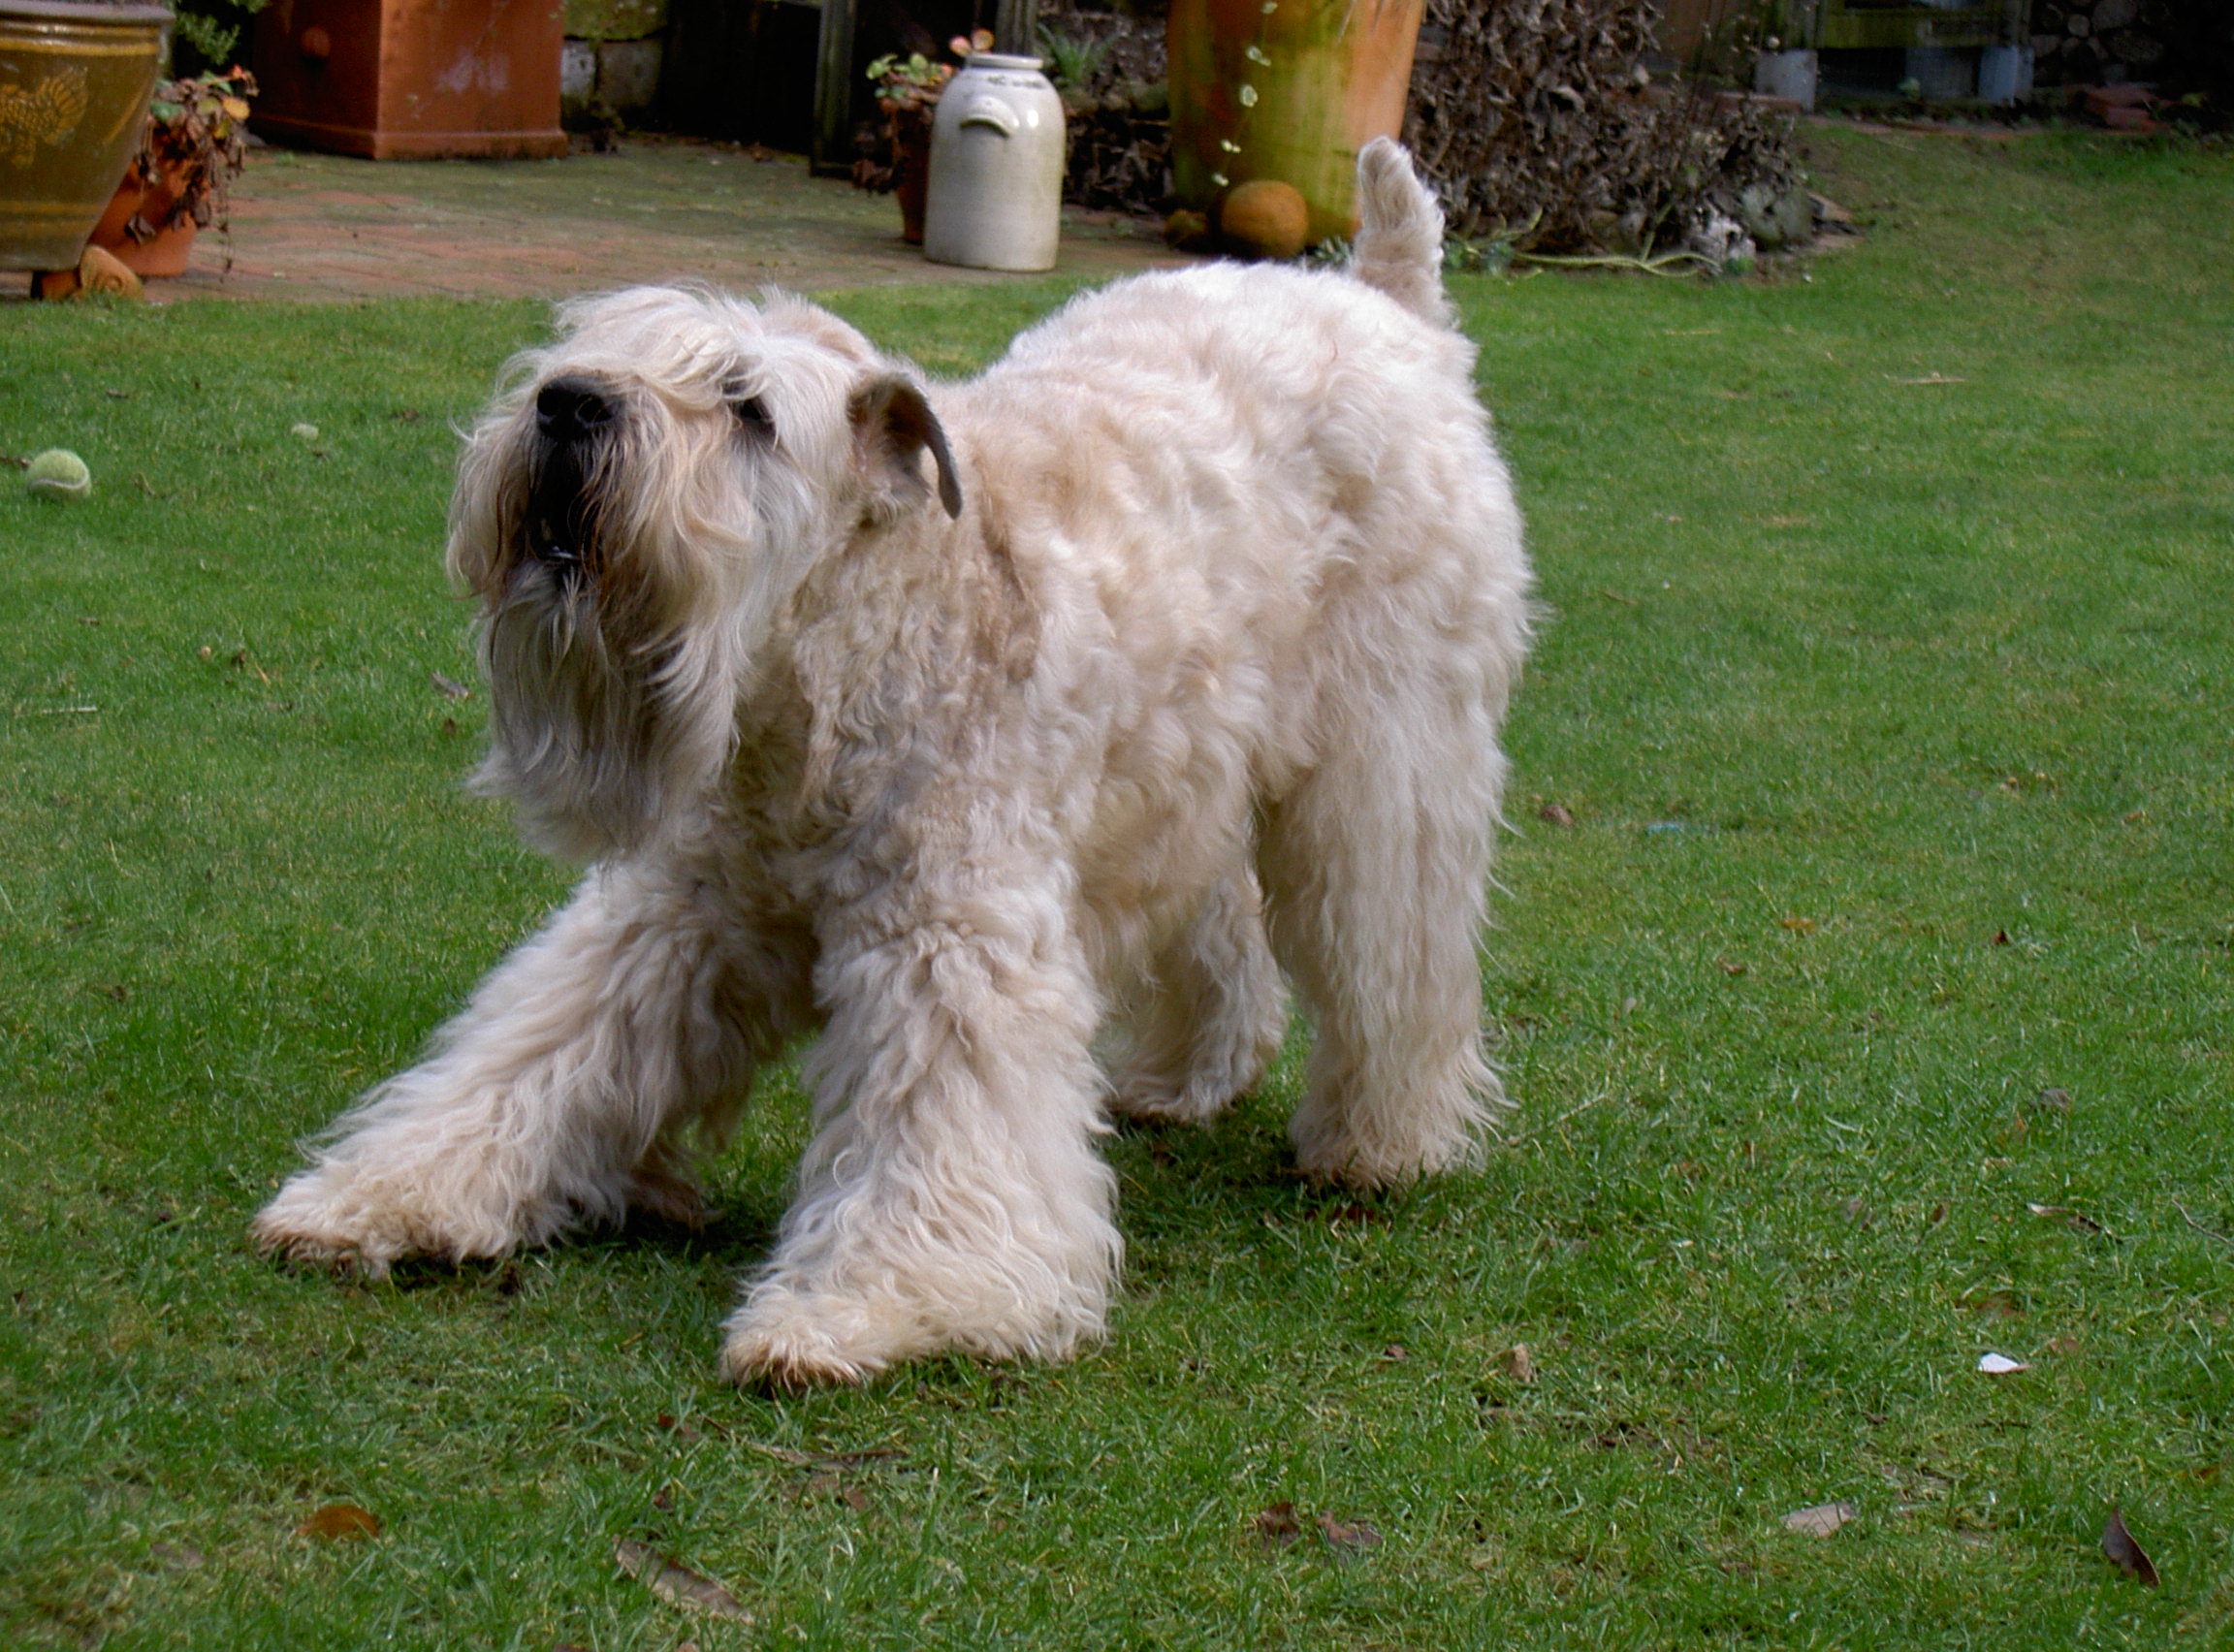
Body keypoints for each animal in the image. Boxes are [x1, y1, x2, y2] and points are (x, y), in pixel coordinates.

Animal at [248, 142, 1537, 1383]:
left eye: (750, 410)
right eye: (591, 346)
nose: (568, 405)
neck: (835, 661)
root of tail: (1387, 301)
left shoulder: (946, 941)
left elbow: (937, 1132)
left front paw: (872, 1307)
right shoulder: (675, 914)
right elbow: (536, 1054)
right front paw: (382, 1195)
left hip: (1387, 764)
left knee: (1395, 956)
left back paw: (1381, 1144)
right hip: (1184, 771)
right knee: (1220, 923)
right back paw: (1185, 1077)